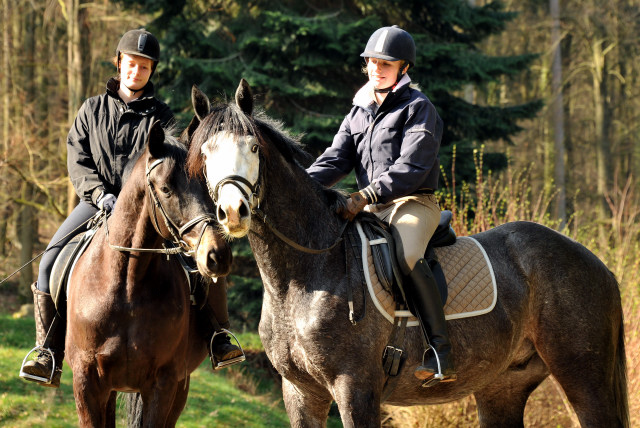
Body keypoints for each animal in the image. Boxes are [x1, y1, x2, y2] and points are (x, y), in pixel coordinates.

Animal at [64, 122, 230, 426]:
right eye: (165, 189)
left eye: (206, 186)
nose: (217, 255)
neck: (127, 284)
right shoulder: (87, 381)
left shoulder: (163, 382)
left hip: (180, 385)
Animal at [185, 81, 632, 428]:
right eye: (205, 153)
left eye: (253, 147)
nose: (233, 212)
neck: (303, 274)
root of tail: (595, 262)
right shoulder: (300, 393)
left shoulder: (355, 388)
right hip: (502, 387)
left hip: (584, 376)